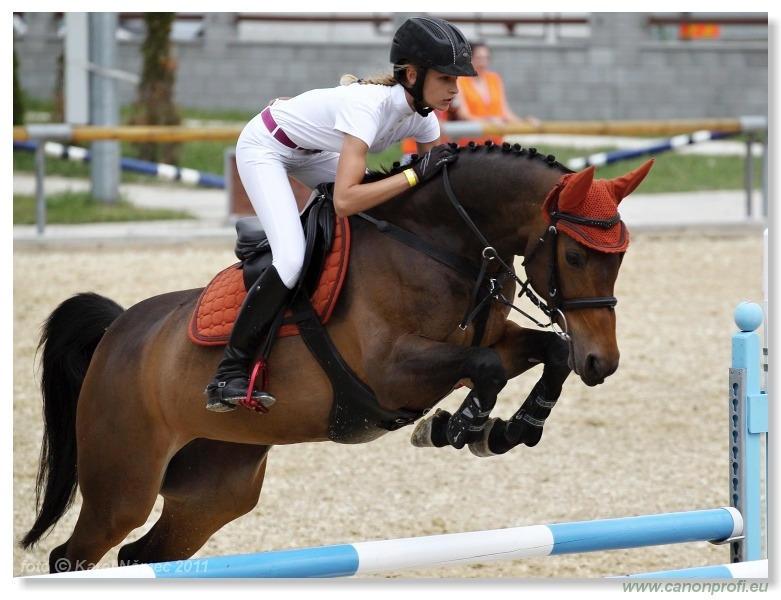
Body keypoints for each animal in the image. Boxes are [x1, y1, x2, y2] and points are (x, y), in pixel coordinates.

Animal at [19, 144, 652, 572]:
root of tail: (118, 330)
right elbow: (489, 370)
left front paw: (511, 429)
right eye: (575, 256)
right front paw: (458, 427)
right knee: (74, 554)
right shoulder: (394, 373)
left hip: (213, 490)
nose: (604, 362)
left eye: (622, 258)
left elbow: (551, 350)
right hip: (122, 484)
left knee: (143, 554)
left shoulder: (487, 342)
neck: (442, 242)